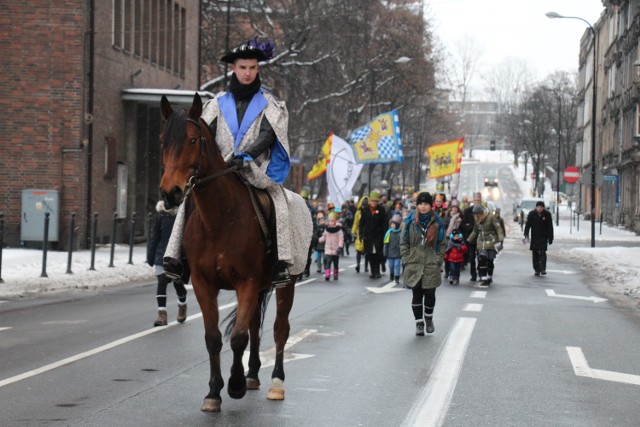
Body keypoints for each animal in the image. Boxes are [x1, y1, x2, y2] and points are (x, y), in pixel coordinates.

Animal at [158, 94, 302, 414]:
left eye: (193, 139)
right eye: (162, 140)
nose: (170, 193)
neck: (220, 218)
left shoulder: (246, 282)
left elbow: (237, 337)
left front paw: (234, 385)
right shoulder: (204, 284)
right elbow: (214, 338)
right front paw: (214, 392)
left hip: (287, 283)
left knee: (279, 329)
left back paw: (276, 382)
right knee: (255, 327)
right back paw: (253, 374)